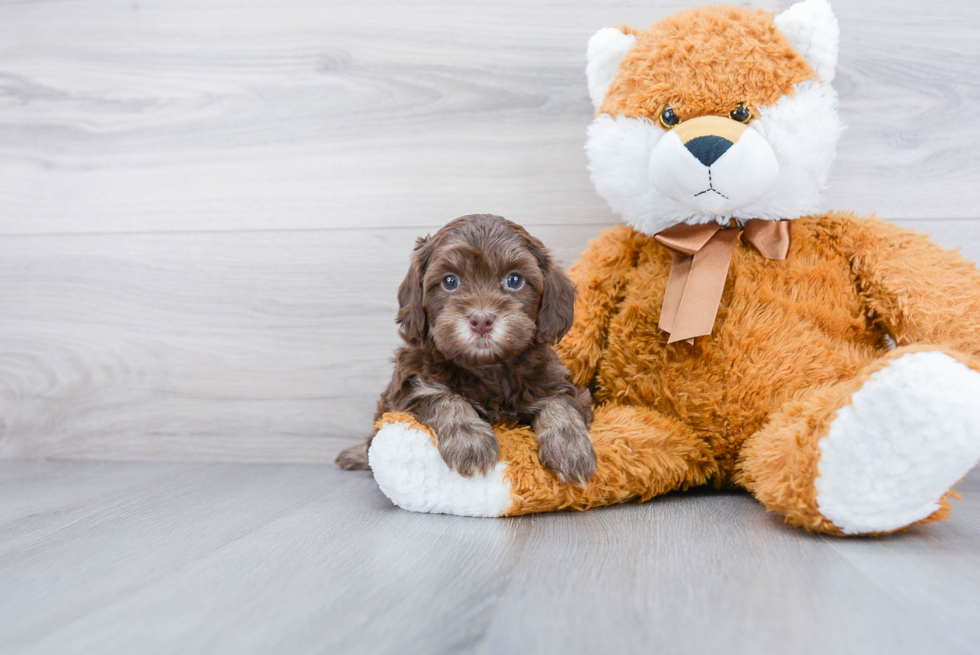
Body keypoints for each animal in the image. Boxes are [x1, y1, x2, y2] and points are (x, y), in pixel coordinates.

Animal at [336, 213, 596, 484]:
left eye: (514, 280)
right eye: (450, 281)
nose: (481, 320)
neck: (487, 367)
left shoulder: (553, 379)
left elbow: (561, 403)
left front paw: (571, 449)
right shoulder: (411, 381)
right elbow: (441, 397)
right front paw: (471, 443)